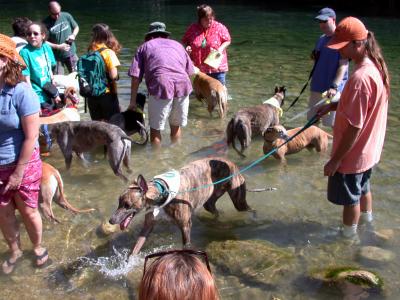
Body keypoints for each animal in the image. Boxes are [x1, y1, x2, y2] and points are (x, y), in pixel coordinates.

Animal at [108, 157, 252, 255]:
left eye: (127, 205)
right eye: (119, 202)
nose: (111, 220)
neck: (162, 192)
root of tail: (230, 162)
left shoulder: (185, 225)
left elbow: (186, 245)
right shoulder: (148, 224)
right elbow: (136, 246)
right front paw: (127, 263)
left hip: (239, 200)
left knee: (249, 209)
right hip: (210, 202)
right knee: (215, 211)